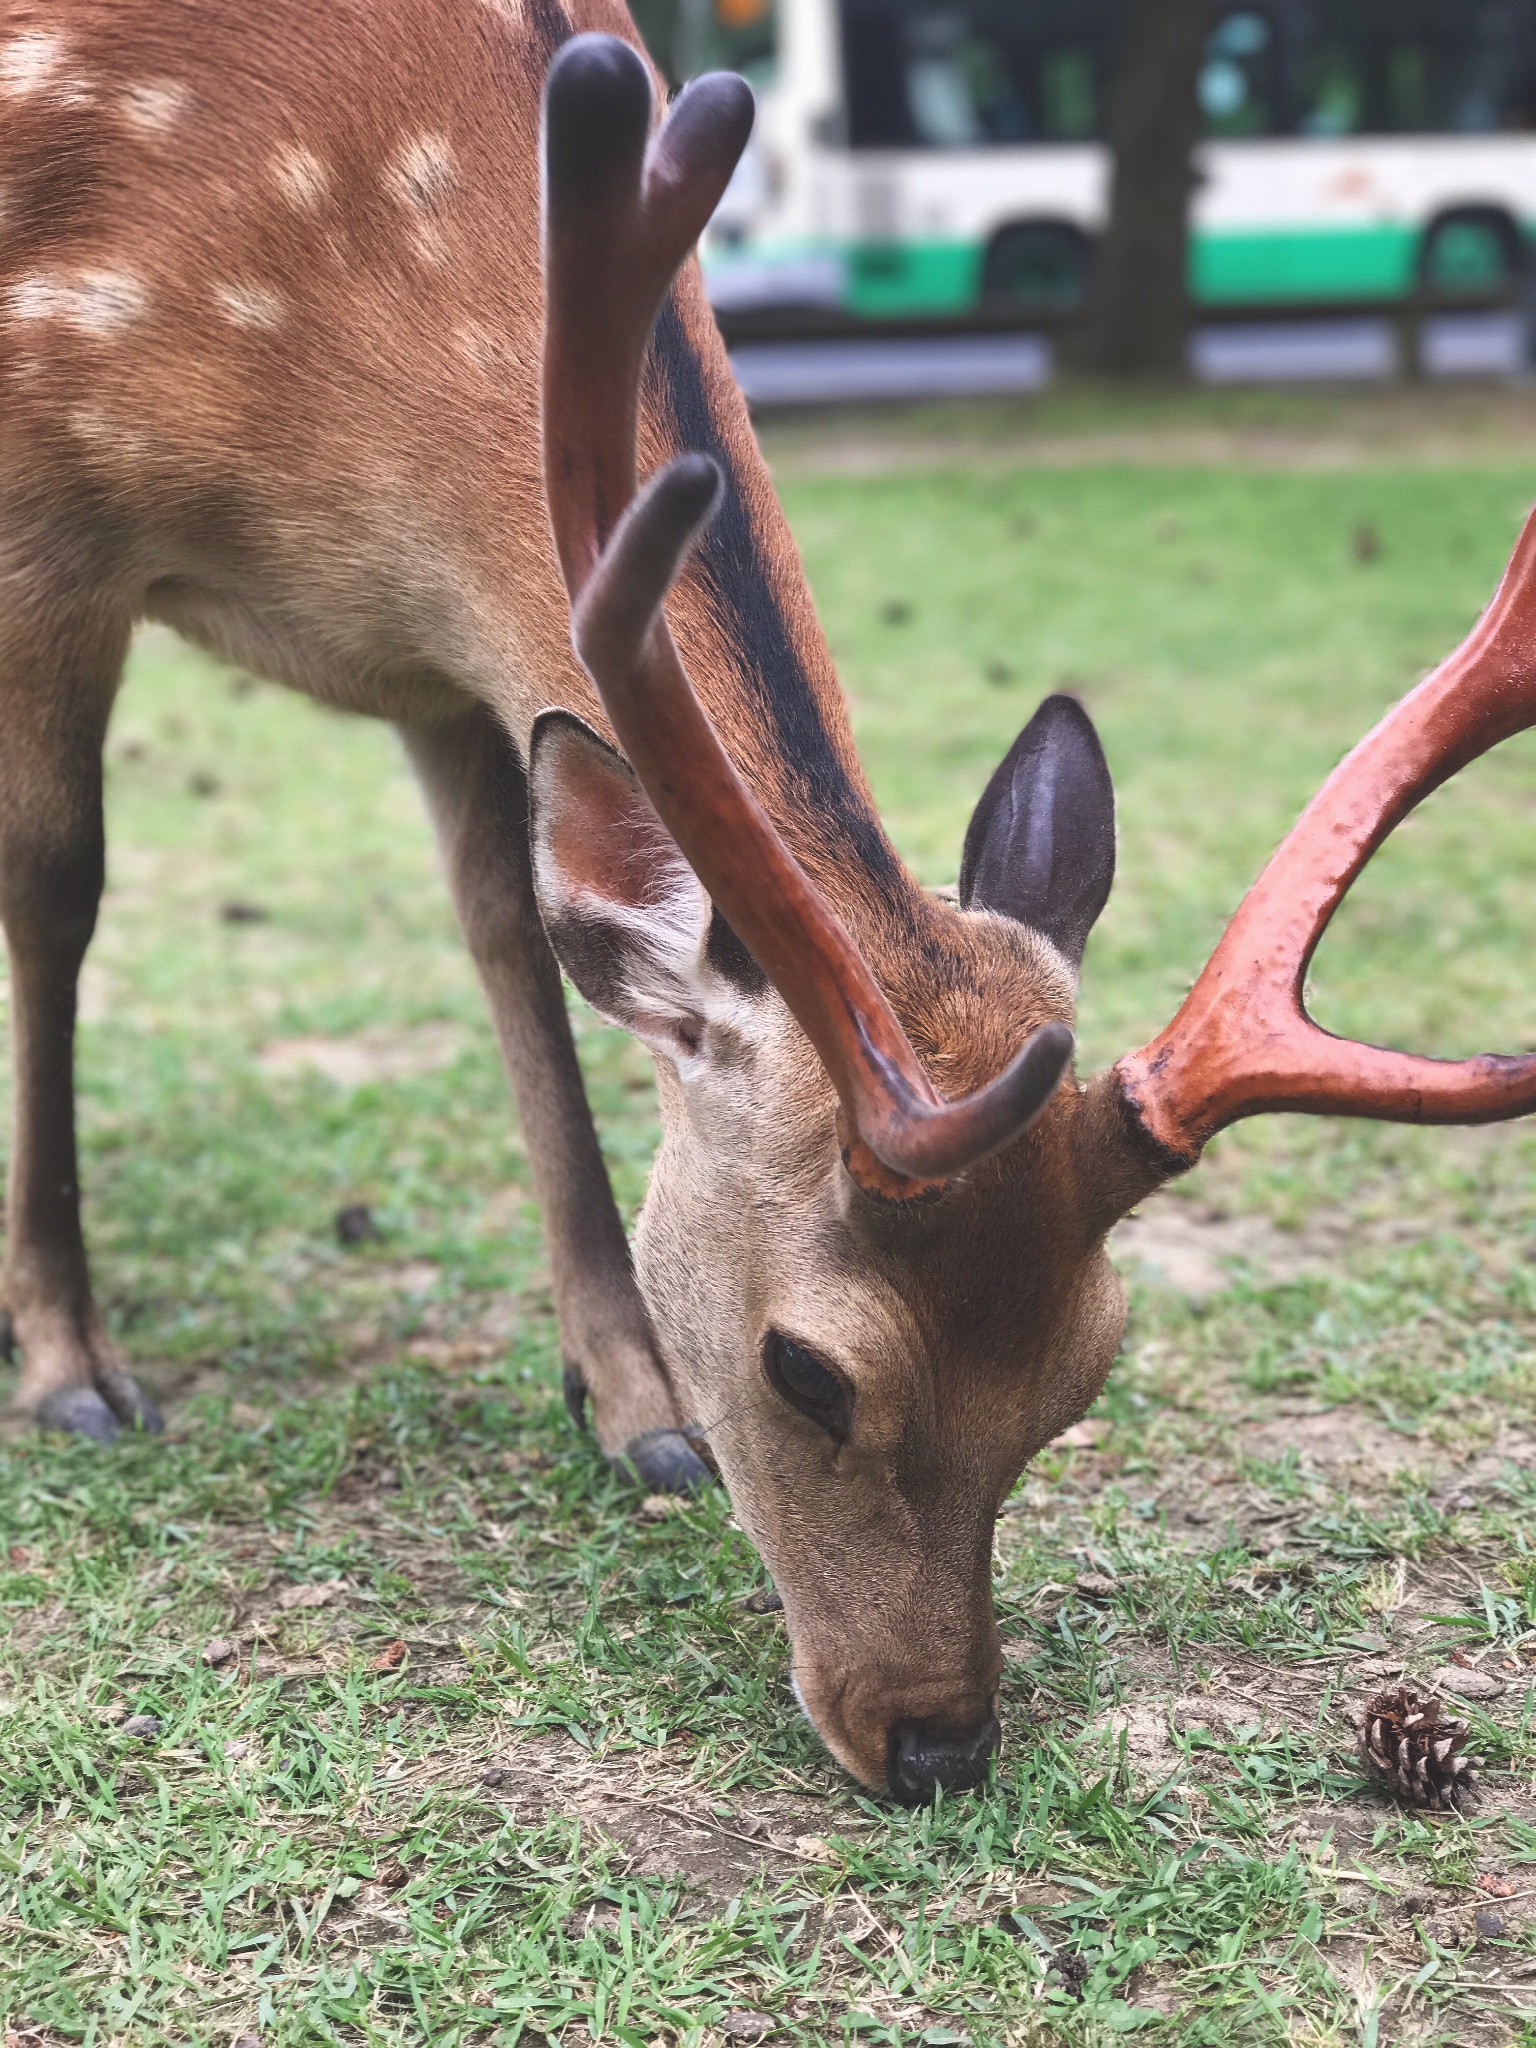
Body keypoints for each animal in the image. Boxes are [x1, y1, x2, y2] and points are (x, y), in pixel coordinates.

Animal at [3, 0, 1536, 1802]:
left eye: (1086, 1370)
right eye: (807, 1369)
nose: (939, 1740)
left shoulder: (440, 669)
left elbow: (514, 945)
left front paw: (629, 1405)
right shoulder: (49, 529)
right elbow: (60, 892)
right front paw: (72, 1363)